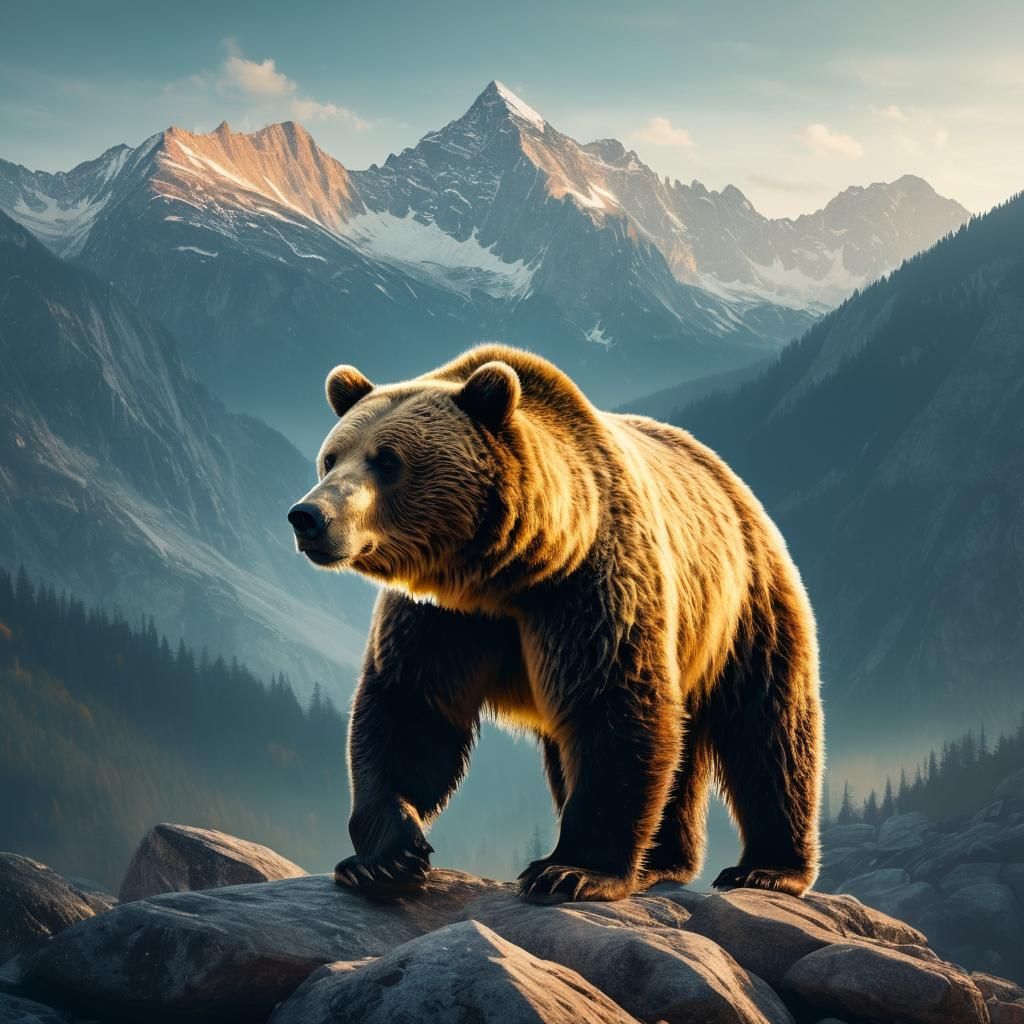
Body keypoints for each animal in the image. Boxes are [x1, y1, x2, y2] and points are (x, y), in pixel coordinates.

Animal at [288, 344, 823, 902]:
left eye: (387, 460)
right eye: (332, 457)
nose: (309, 516)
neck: (505, 572)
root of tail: (729, 479)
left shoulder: (587, 594)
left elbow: (615, 708)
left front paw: (570, 871)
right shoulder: (441, 617)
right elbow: (410, 709)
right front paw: (385, 857)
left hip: (745, 605)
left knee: (770, 731)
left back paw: (766, 868)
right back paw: (664, 861)